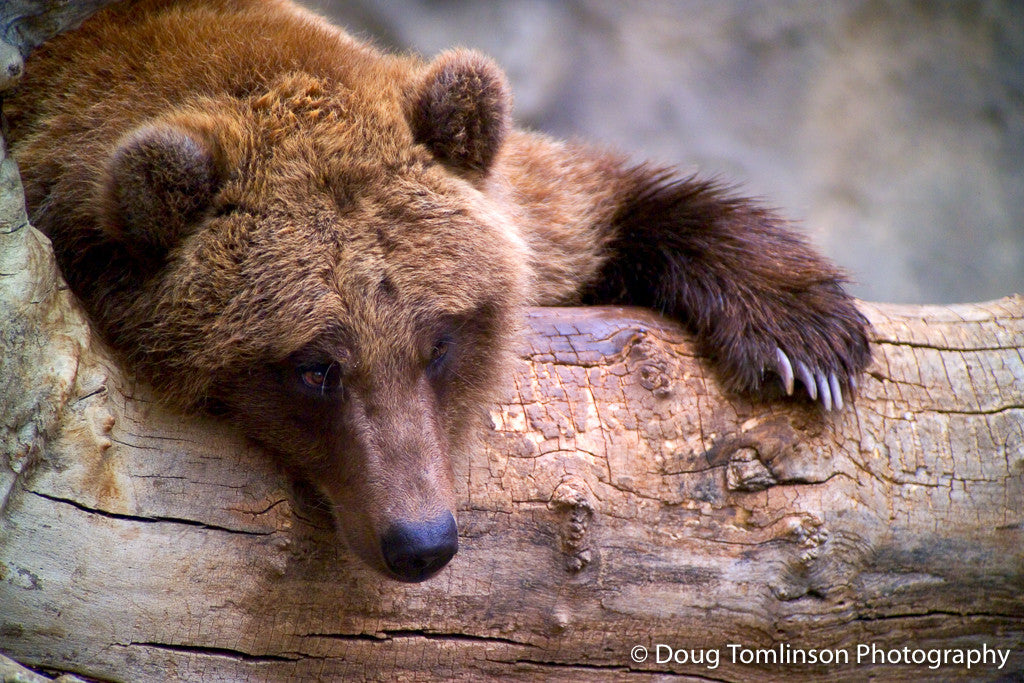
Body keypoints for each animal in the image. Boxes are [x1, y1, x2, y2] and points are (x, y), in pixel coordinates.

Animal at [4, 0, 870, 582]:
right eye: (314, 366)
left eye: (441, 339)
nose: (420, 540)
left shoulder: (524, 213)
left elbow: (597, 200)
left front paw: (805, 340)